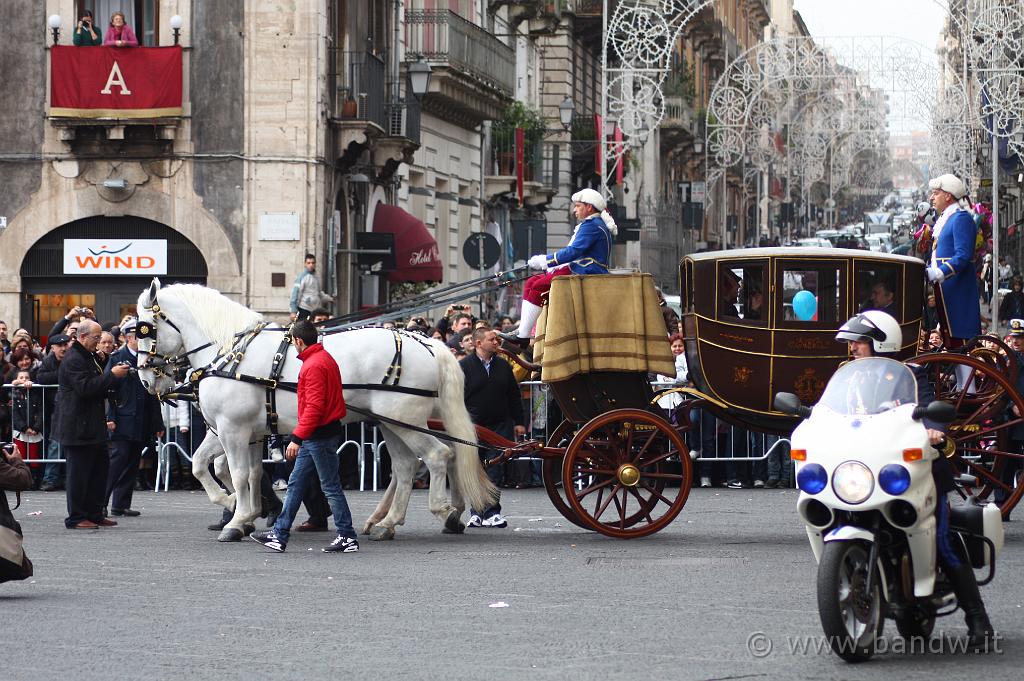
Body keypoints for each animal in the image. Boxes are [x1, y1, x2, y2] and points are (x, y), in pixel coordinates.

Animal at [133, 278, 495, 540]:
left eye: (144, 329)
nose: (146, 379)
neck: (231, 352)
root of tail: (426, 342)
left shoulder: (232, 428)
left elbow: (235, 473)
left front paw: (235, 516)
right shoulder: (244, 432)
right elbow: (223, 468)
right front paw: (244, 511)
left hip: (403, 420)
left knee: (437, 456)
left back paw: (443, 510)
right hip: (392, 424)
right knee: (409, 466)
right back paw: (388, 522)